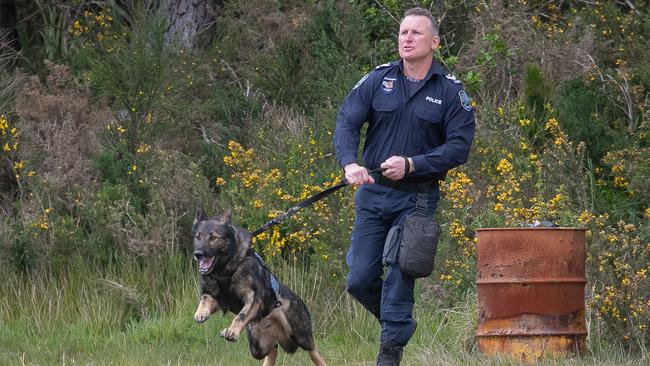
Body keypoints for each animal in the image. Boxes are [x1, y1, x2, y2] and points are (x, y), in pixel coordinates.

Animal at [191, 207, 324, 364]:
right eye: (198, 237)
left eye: (213, 237)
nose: (198, 254)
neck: (226, 270)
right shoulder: (218, 297)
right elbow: (205, 298)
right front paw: (201, 313)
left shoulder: (253, 297)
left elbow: (241, 316)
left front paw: (233, 331)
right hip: (258, 347)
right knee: (272, 350)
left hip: (301, 336)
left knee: (313, 351)